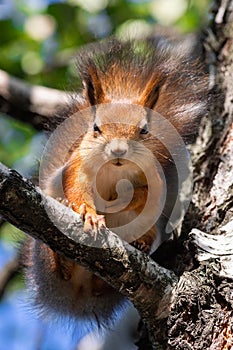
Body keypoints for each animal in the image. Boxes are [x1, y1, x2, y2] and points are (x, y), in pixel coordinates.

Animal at [22, 39, 208, 330]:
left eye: (144, 130)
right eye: (96, 128)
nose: (119, 151)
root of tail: (78, 295)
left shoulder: (155, 179)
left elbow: (148, 197)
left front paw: (123, 202)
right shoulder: (77, 167)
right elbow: (77, 189)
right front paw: (89, 214)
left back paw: (140, 244)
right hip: (45, 250)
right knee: (59, 265)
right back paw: (62, 255)